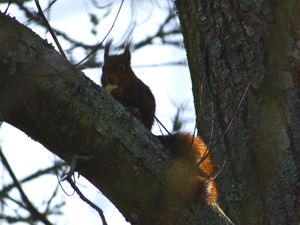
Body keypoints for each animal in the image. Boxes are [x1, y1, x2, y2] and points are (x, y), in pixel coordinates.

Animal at [101, 41, 232, 224]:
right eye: (102, 68)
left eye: (122, 68)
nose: (109, 79)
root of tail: (149, 130)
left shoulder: (135, 90)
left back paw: (136, 113)